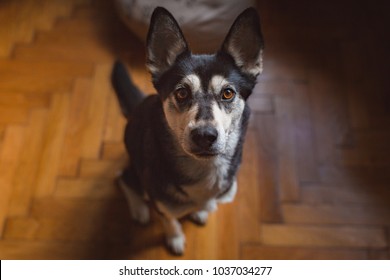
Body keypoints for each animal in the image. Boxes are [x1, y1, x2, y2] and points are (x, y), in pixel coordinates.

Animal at [111, 7, 266, 256]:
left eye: (228, 93)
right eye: (181, 93)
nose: (204, 136)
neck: (205, 170)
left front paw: (201, 211)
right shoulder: (160, 202)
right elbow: (169, 220)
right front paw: (175, 238)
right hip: (135, 169)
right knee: (123, 177)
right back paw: (139, 209)